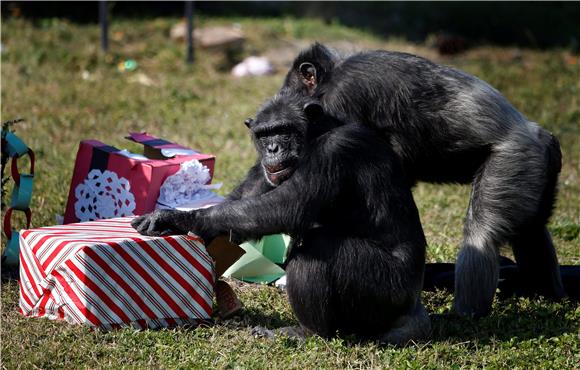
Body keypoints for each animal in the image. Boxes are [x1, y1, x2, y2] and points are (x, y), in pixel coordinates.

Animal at [131, 91, 430, 342]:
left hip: (388, 291)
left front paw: (179, 219)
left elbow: (288, 205)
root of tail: (413, 307)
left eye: (283, 131)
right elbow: (249, 196)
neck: (319, 133)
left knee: (320, 246)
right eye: (264, 135)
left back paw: (306, 331)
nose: (273, 149)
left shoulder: (336, 149)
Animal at [286, 42, 568, 316]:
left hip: (511, 162)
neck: (332, 74)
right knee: (532, 229)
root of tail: (540, 136)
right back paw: (545, 292)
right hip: (535, 174)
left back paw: (464, 315)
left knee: (481, 236)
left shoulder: (343, 98)